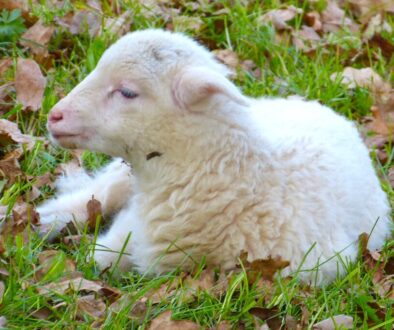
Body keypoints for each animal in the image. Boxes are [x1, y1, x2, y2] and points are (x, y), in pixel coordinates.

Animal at [37, 29, 390, 284]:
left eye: (127, 92)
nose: (54, 116)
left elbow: (103, 257)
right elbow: (103, 253)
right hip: (121, 175)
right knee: (97, 195)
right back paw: (43, 220)